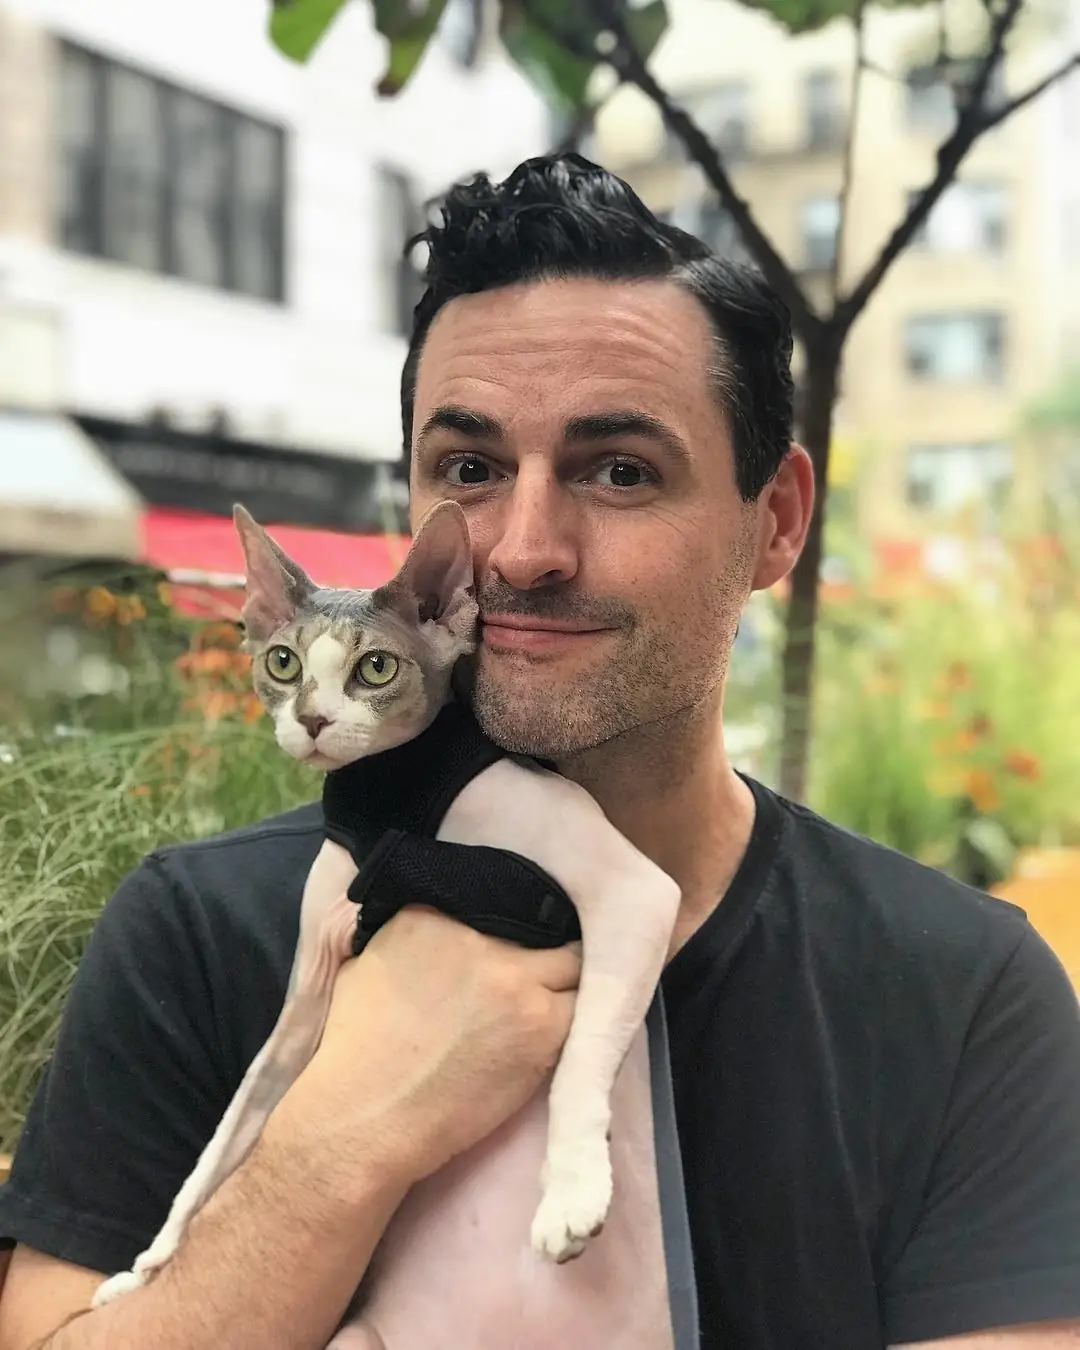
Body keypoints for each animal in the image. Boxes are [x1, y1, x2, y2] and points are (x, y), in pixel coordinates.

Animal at [92, 499, 683, 1349]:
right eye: (282, 663)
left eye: (375, 669)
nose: (311, 718)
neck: (395, 805)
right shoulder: (307, 998)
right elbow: (226, 1136)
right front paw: (149, 1265)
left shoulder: (634, 892)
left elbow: (579, 1062)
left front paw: (570, 1191)